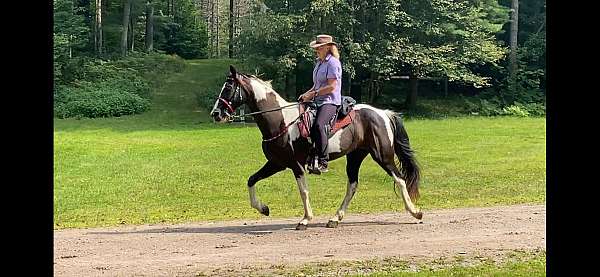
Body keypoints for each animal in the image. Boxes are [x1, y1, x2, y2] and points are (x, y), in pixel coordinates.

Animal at [211, 65, 422, 229]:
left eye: (228, 88)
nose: (216, 114)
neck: (280, 121)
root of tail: (383, 113)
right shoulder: (276, 163)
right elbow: (251, 180)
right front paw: (263, 208)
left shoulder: (296, 165)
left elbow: (303, 191)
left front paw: (305, 219)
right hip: (355, 156)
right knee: (353, 185)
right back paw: (335, 218)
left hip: (382, 156)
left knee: (400, 179)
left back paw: (415, 212)